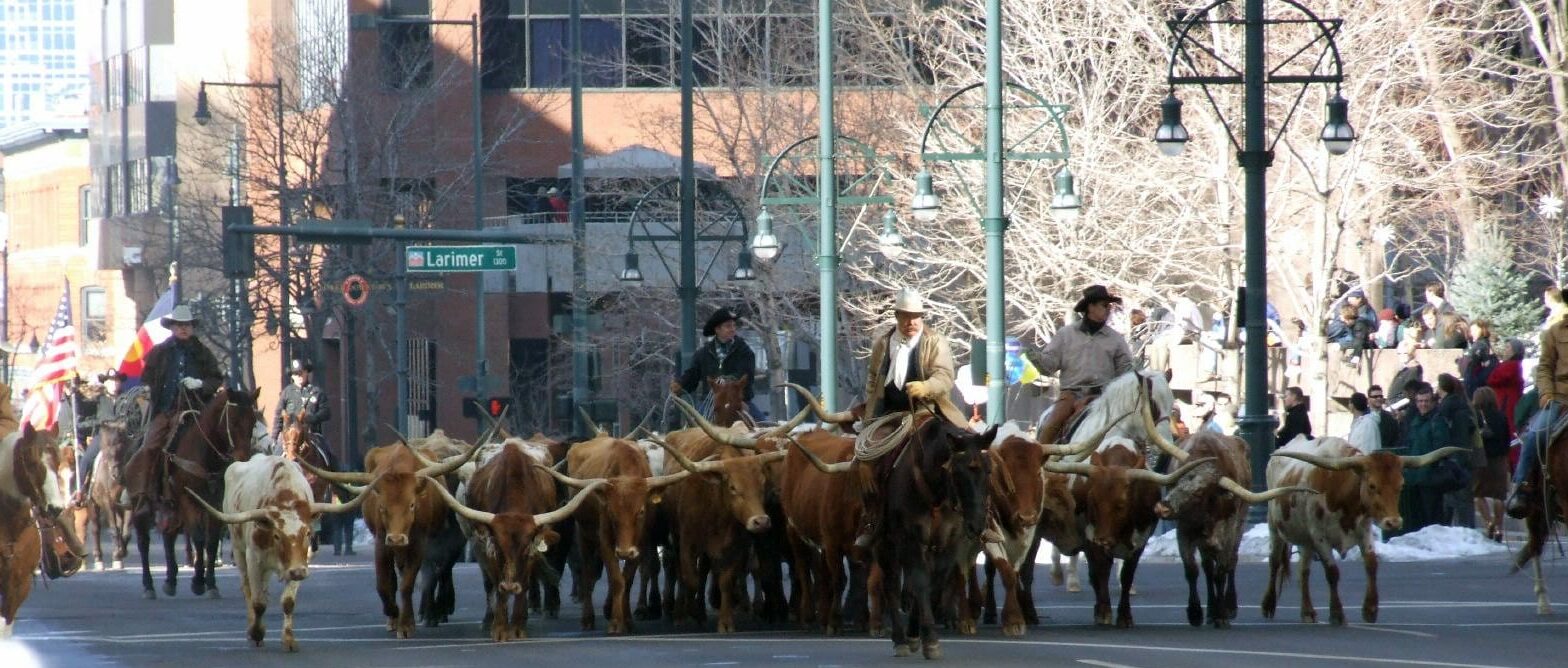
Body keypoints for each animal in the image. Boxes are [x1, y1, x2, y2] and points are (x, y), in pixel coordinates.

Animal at [127, 385, 261, 599]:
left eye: (253, 421)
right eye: (232, 421)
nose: (243, 459)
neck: (204, 454)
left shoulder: (215, 503)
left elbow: (212, 541)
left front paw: (211, 584)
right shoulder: (188, 500)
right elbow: (198, 537)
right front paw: (198, 581)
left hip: (171, 506)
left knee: (169, 535)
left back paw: (170, 580)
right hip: (143, 504)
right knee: (143, 541)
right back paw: (148, 585)